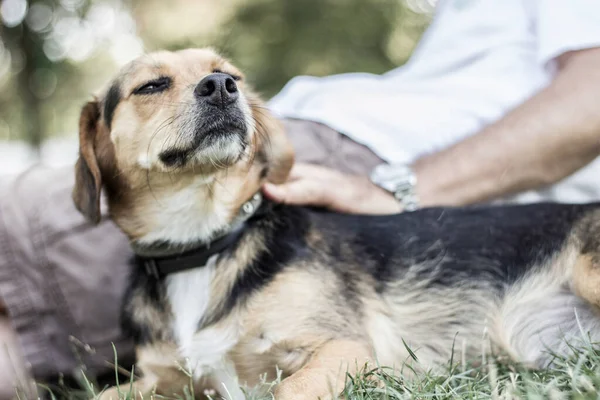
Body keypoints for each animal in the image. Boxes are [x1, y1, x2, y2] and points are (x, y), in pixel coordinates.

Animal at [72, 47, 600, 400]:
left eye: (231, 74)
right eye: (151, 86)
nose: (222, 86)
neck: (201, 246)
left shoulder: (347, 349)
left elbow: (288, 391)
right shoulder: (167, 382)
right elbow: (106, 393)